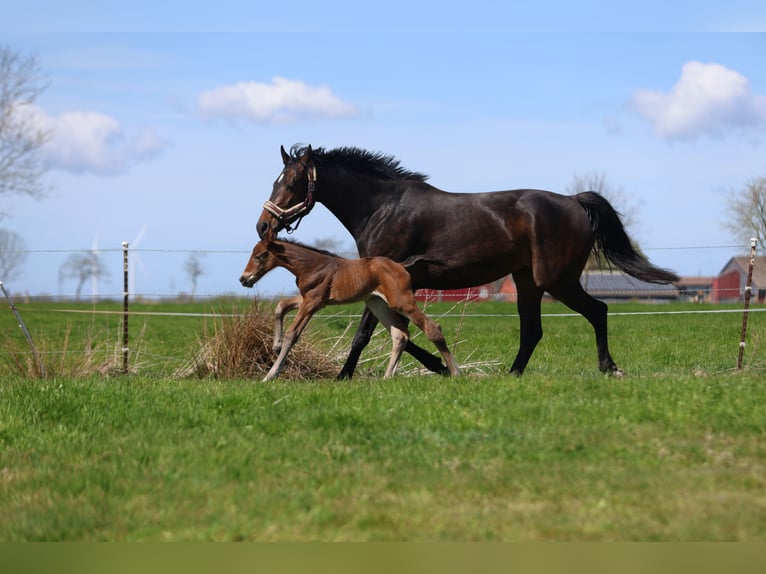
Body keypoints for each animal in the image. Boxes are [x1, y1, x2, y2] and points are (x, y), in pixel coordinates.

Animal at [239, 237, 461, 381]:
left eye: (260, 256)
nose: (244, 279)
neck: (312, 266)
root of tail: (401, 265)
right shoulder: (308, 298)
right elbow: (280, 306)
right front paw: (275, 346)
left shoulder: (313, 302)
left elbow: (292, 335)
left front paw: (270, 375)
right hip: (377, 303)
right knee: (400, 334)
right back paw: (387, 377)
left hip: (401, 301)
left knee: (432, 327)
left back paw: (456, 372)